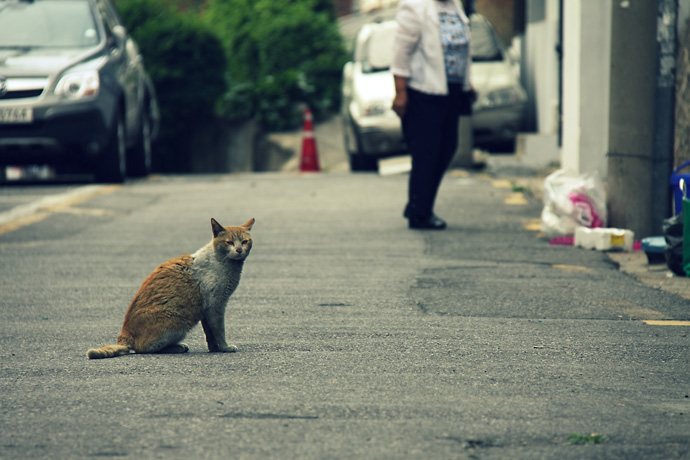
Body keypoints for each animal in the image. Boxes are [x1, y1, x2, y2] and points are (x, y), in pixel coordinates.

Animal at [87, 218, 254, 360]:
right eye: (229, 242)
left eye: (244, 241)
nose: (239, 249)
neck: (222, 261)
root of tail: (124, 334)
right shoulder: (215, 306)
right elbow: (219, 330)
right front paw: (225, 347)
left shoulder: (207, 310)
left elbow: (209, 333)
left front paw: (215, 348)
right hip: (178, 324)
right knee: (144, 348)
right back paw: (178, 347)